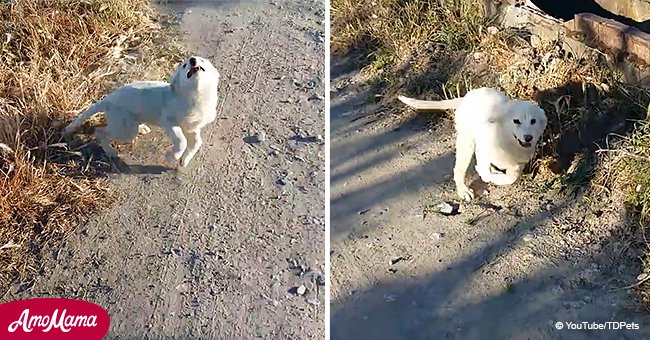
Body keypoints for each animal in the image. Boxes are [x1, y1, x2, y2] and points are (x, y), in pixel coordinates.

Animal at [63, 56, 220, 167]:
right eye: (184, 65)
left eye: (201, 60)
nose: (192, 60)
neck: (194, 96)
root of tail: (108, 99)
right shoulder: (169, 120)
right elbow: (181, 140)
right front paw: (171, 156)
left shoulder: (191, 126)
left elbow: (197, 142)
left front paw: (184, 161)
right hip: (125, 130)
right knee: (100, 131)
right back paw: (111, 152)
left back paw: (143, 128)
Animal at [398, 87, 544, 202]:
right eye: (516, 121)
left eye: (533, 121)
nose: (528, 138)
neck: (506, 140)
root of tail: (466, 97)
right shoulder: (482, 150)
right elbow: (485, 171)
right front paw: (485, 173)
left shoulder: (519, 163)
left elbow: (511, 178)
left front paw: (498, 175)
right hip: (466, 143)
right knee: (459, 170)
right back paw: (464, 191)